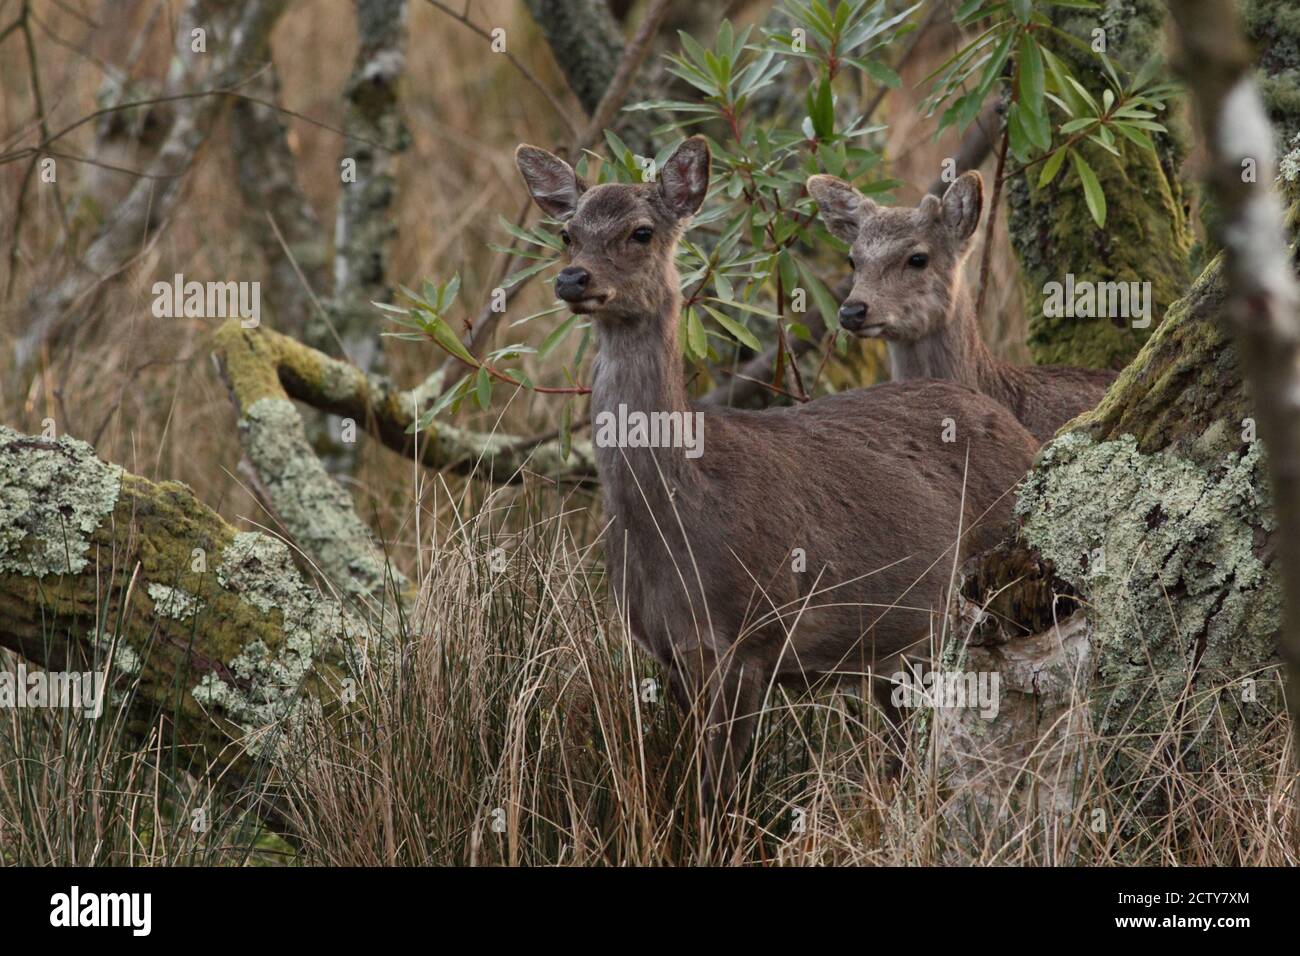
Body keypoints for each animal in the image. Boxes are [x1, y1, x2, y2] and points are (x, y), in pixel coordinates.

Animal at [512, 138, 1040, 806]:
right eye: (566, 233)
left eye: (641, 231)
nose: (573, 277)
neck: (682, 508)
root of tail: (1027, 436)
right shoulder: (667, 652)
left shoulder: (753, 636)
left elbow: (721, 800)